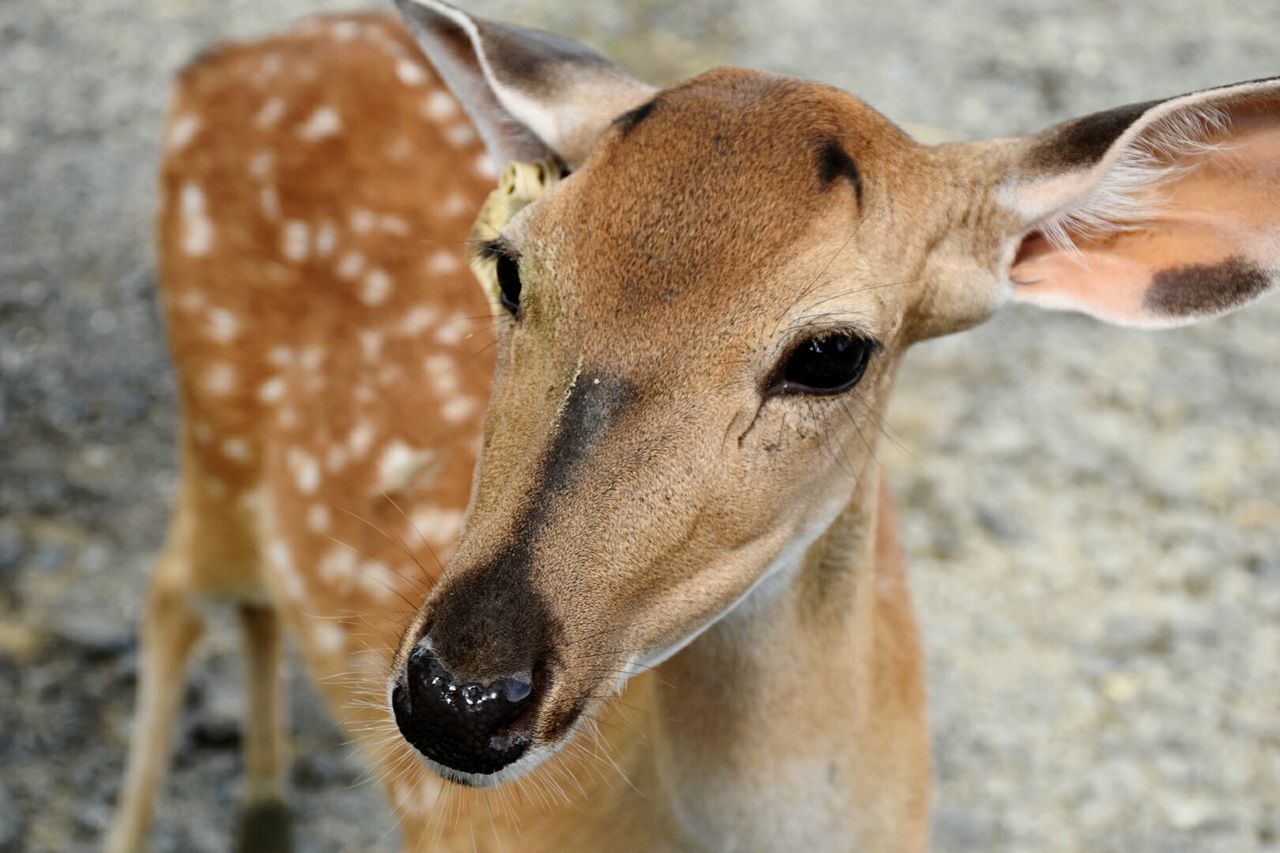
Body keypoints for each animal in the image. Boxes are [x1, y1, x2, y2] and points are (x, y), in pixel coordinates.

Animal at [104, 1, 1274, 850]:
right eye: (513, 265)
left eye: (832, 352)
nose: (459, 696)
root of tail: (220, 59)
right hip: (210, 428)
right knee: (169, 591)